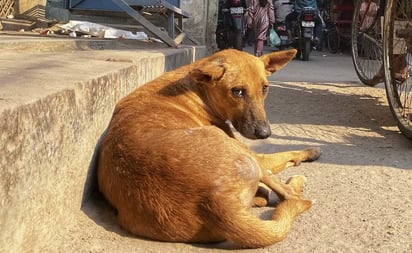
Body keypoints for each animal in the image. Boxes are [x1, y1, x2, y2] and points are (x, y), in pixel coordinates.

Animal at [97, 48, 322, 248]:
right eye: (237, 91)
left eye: (265, 88)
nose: (265, 133)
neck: (197, 90)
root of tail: (214, 201)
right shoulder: (255, 153)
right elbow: (284, 154)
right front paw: (310, 151)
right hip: (242, 152)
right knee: (289, 195)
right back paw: (293, 183)